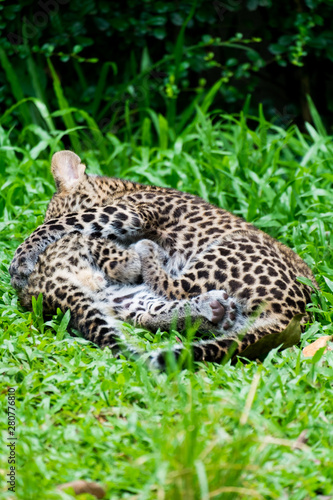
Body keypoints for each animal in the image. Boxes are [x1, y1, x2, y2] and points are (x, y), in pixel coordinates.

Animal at [9, 149, 318, 368]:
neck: (122, 188)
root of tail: (295, 313)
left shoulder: (130, 212)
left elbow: (63, 223)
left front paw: (21, 261)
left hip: (225, 249)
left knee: (173, 286)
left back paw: (149, 253)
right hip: (124, 297)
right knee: (152, 310)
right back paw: (211, 311)